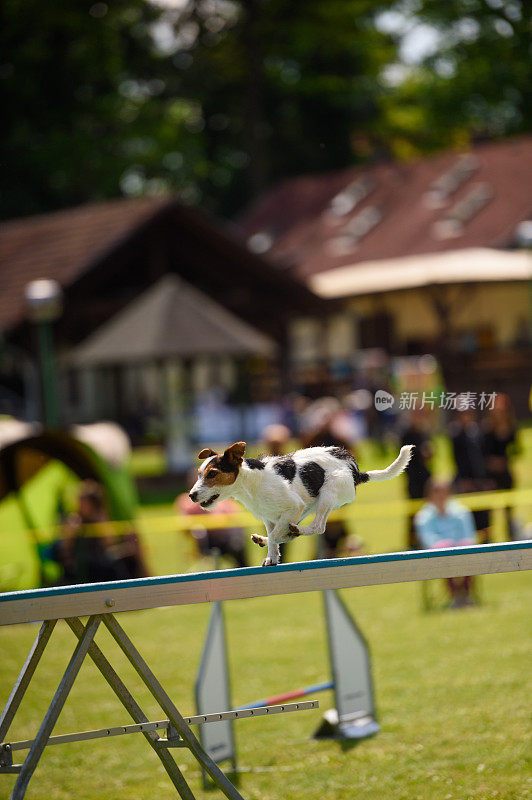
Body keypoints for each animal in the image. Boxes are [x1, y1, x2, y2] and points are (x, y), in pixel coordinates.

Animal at [188, 440, 416, 564]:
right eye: (199, 473)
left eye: (212, 474)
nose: (191, 495)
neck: (253, 482)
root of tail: (356, 470)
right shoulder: (270, 517)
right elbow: (274, 536)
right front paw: (271, 556)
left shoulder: (293, 506)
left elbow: (275, 536)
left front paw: (273, 549)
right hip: (309, 506)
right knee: (293, 530)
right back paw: (275, 536)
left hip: (325, 495)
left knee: (318, 527)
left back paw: (294, 531)